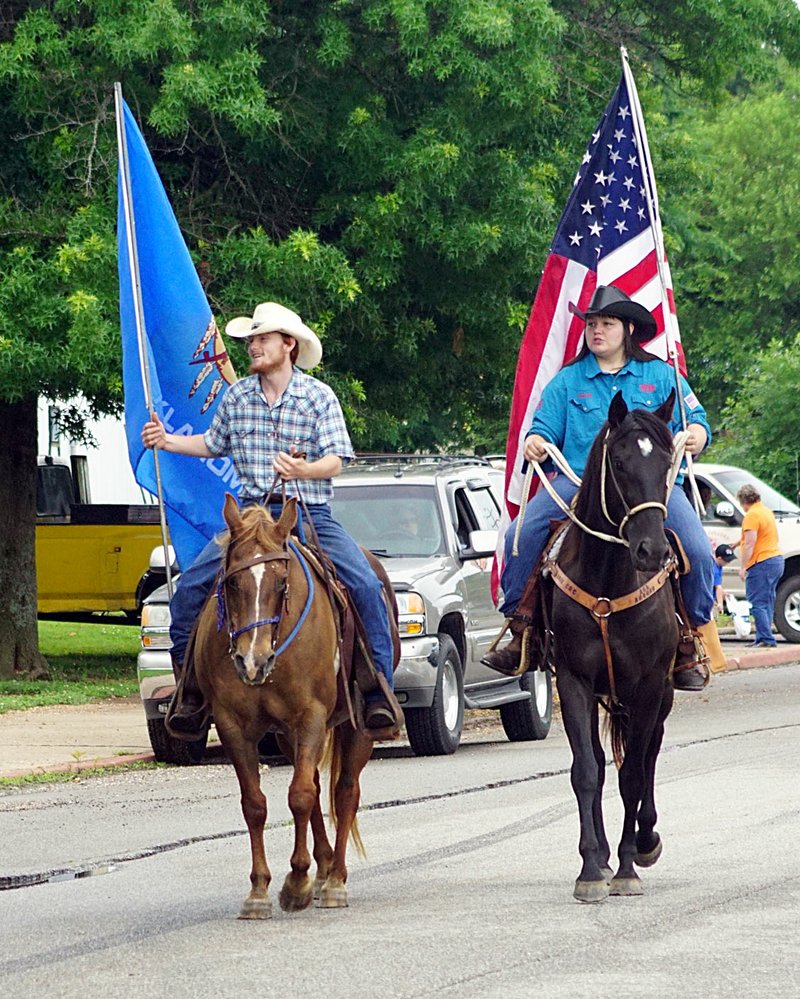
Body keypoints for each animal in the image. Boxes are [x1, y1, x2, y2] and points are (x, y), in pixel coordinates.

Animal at [192, 494, 382, 920]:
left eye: (281, 583)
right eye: (231, 582)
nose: (252, 661)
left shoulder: (310, 716)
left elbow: (300, 796)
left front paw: (296, 882)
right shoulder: (233, 725)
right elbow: (255, 805)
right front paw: (259, 890)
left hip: (355, 726)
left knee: (345, 791)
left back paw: (335, 880)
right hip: (287, 736)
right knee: (316, 785)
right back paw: (323, 870)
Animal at [544, 392, 676, 908]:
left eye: (667, 462)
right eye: (618, 463)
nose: (651, 551)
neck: (606, 582)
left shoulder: (648, 686)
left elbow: (633, 775)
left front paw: (627, 866)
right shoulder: (573, 681)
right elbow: (587, 771)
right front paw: (591, 868)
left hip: (662, 696)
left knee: (650, 754)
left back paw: (646, 840)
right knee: (602, 764)